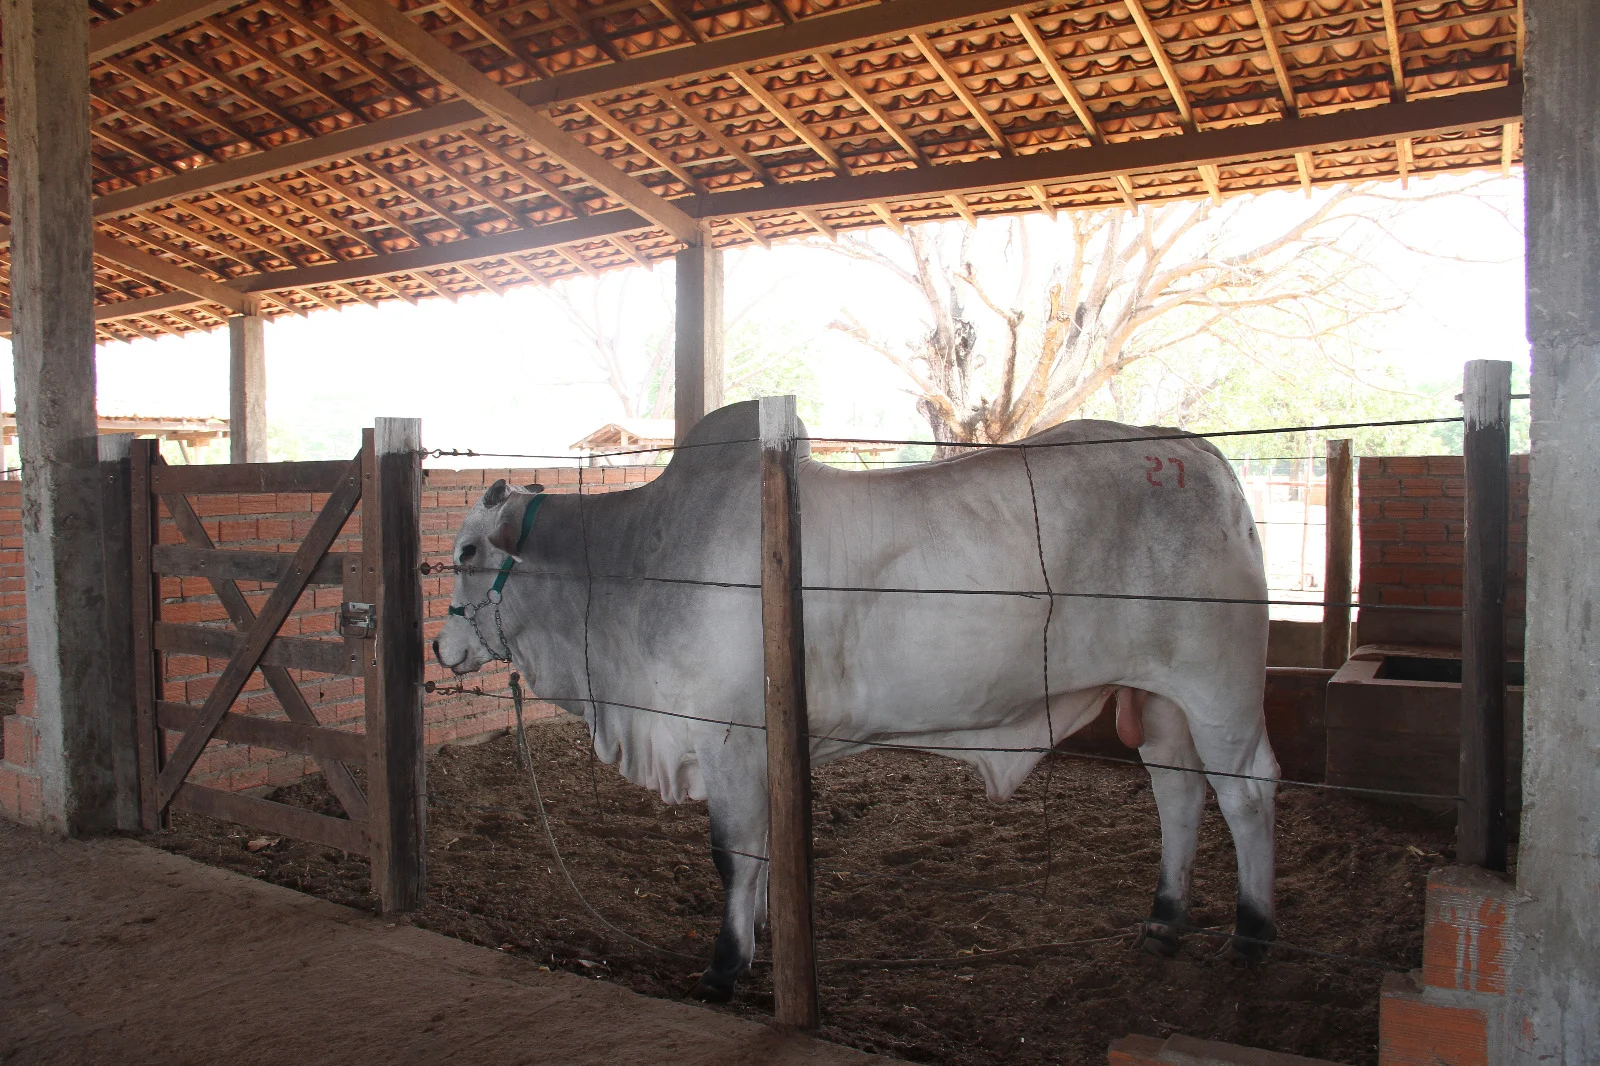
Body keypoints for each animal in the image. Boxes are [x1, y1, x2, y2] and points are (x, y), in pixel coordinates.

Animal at [435, 400, 1273, 998]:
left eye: (469, 550)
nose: (442, 649)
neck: (631, 567)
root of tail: (1201, 455)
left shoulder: (728, 735)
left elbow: (732, 853)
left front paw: (725, 966)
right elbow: (764, 852)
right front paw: (761, 938)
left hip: (1219, 687)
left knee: (1247, 792)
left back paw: (1253, 934)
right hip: (1159, 698)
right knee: (1177, 790)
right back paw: (1163, 921)